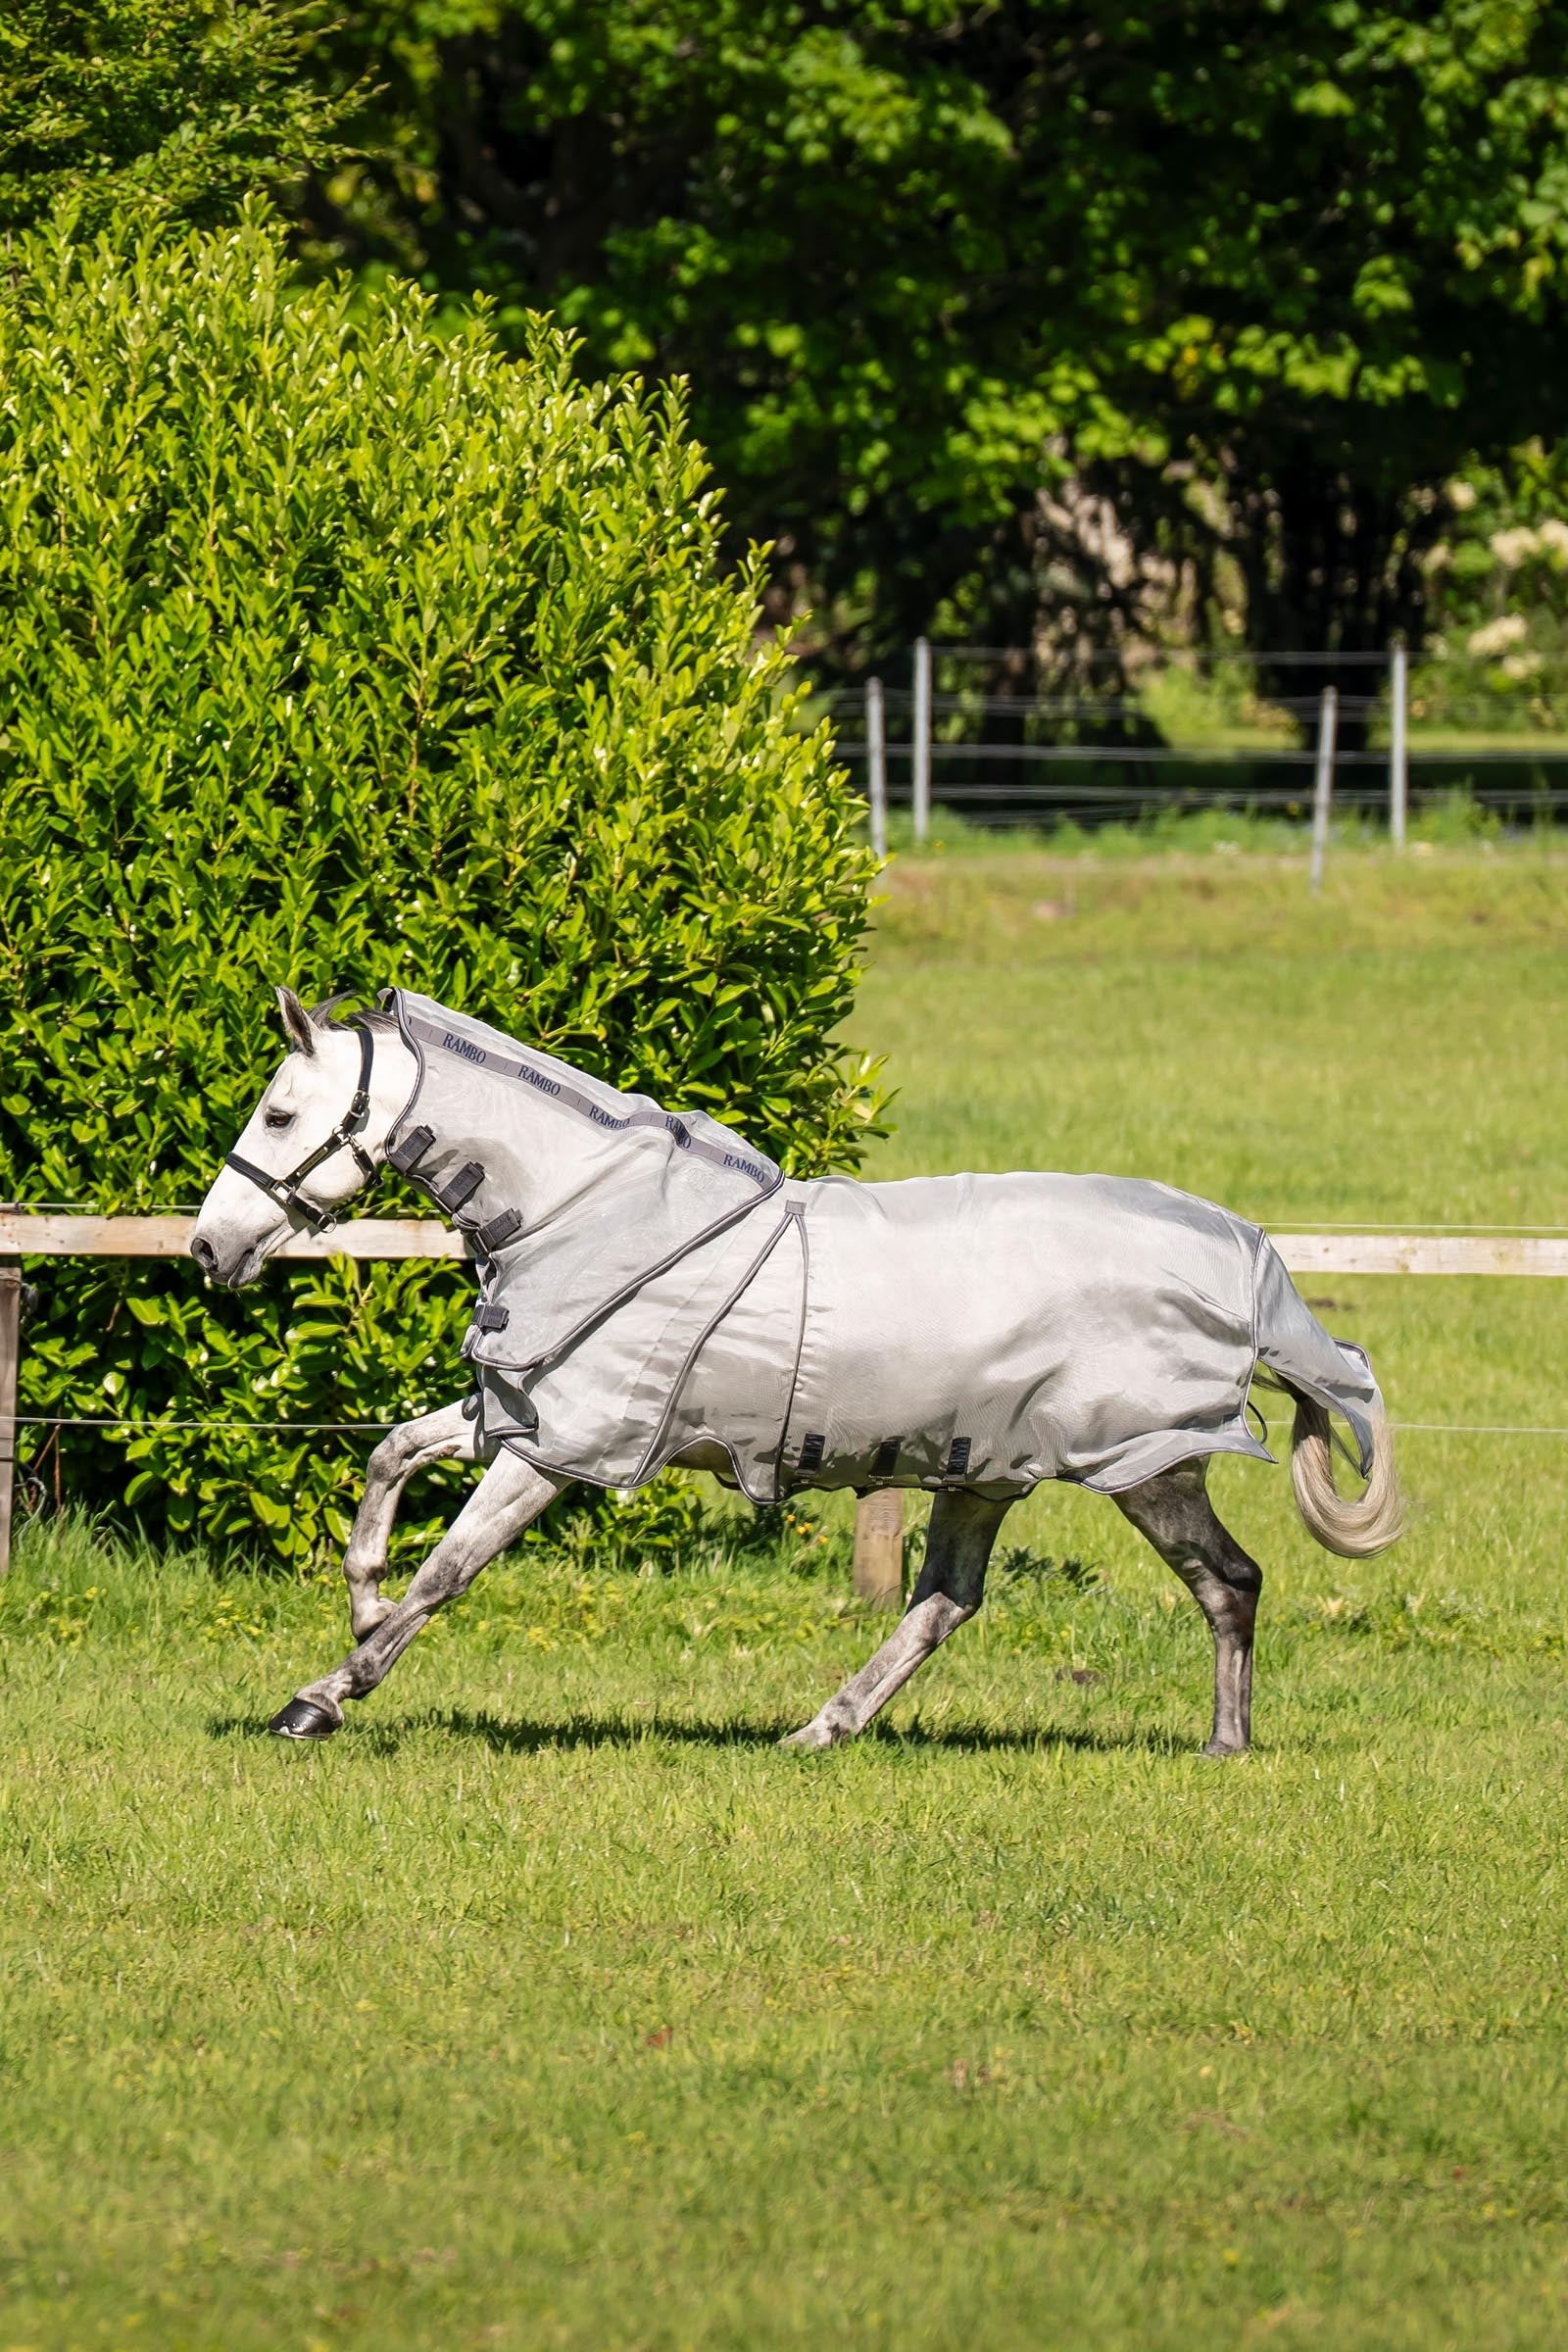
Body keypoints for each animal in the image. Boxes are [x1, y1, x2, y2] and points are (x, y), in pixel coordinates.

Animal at [191, 987, 1402, 1755]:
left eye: (282, 1112)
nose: (210, 1249)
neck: (588, 1209)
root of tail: (1242, 1253)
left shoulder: (564, 1448)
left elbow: (450, 1572)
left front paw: (322, 1698)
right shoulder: (527, 1412)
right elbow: (392, 1458)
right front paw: (360, 1604)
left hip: (1145, 1467)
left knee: (1228, 1581)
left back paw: (1224, 1745)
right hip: (985, 1471)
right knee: (943, 1604)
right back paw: (821, 1728)